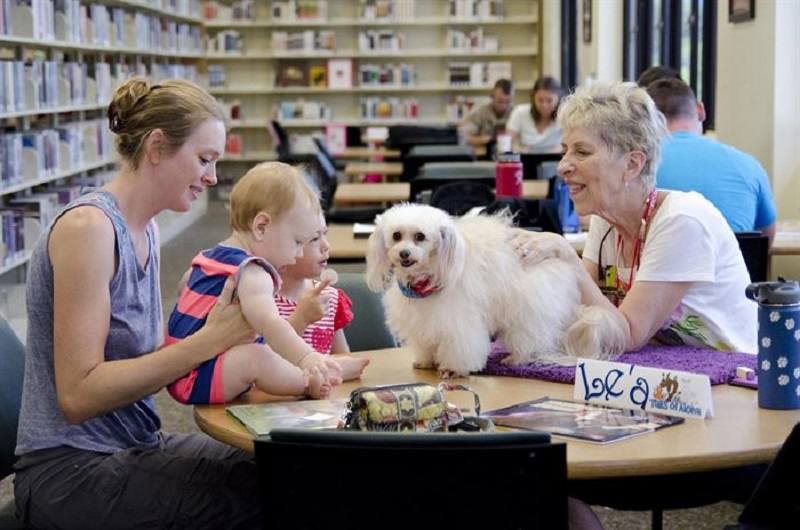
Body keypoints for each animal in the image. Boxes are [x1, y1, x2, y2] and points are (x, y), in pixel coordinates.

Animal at [366, 202, 628, 376]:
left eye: (420, 236)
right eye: (396, 235)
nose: (404, 254)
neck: (428, 276)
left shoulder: (458, 320)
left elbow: (460, 345)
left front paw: (452, 369)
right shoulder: (426, 319)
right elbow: (427, 342)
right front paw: (426, 360)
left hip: (528, 311)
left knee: (530, 338)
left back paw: (516, 358)